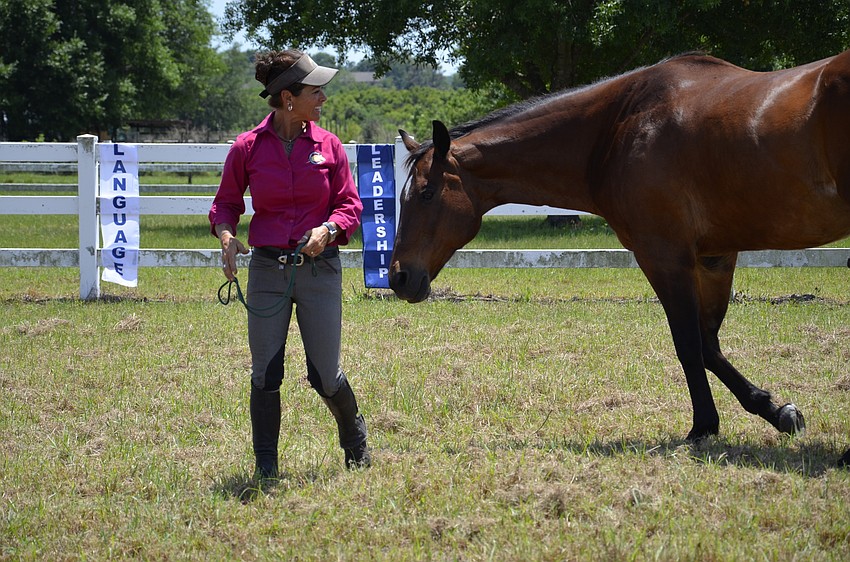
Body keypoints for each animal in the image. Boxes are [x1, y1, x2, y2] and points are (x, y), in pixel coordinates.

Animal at [389, 50, 850, 467]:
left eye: (426, 194)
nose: (398, 277)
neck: (618, 128)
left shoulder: (665, 257)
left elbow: (690, 344)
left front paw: (703, 427)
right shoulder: (714, 258)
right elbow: (709, 345)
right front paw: (776, 412)